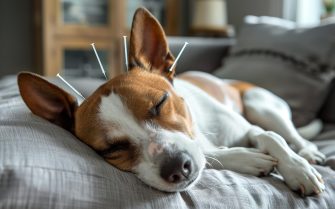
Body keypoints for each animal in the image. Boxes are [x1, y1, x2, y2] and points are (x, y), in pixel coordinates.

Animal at [17, 6, 326, 196]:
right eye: (112, 149)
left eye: (160, 103)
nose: (177, 167)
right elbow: (214, 156)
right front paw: (243, 157)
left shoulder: (248, 128)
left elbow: (271, 137)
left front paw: (298, 170)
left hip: (258, 102)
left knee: (292, 134)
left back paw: (308, 153)